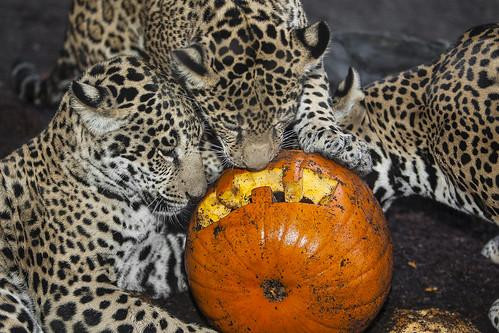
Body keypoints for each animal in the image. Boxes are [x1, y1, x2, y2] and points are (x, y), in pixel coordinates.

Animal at [0, 55, 219, 330]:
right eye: (166, 152)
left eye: (199, 140)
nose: (198, 194)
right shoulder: (75, 291)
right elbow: (152, 320)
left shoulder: (142, 259)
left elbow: (182, 255)